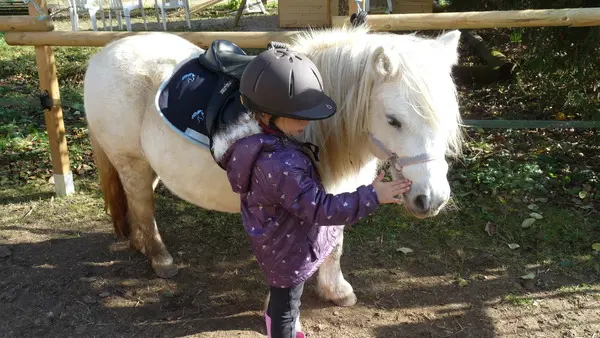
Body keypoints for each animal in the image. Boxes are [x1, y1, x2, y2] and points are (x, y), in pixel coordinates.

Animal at [82, 25, 462, 308]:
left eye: (446, 117)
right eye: (393, 120)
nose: (432, 199)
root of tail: (104, 54)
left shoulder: (339, 193)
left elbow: (335, 244)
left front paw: (336, 291)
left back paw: (140, 245)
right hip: (131, 161)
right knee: (143, 207)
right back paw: (160, 259)